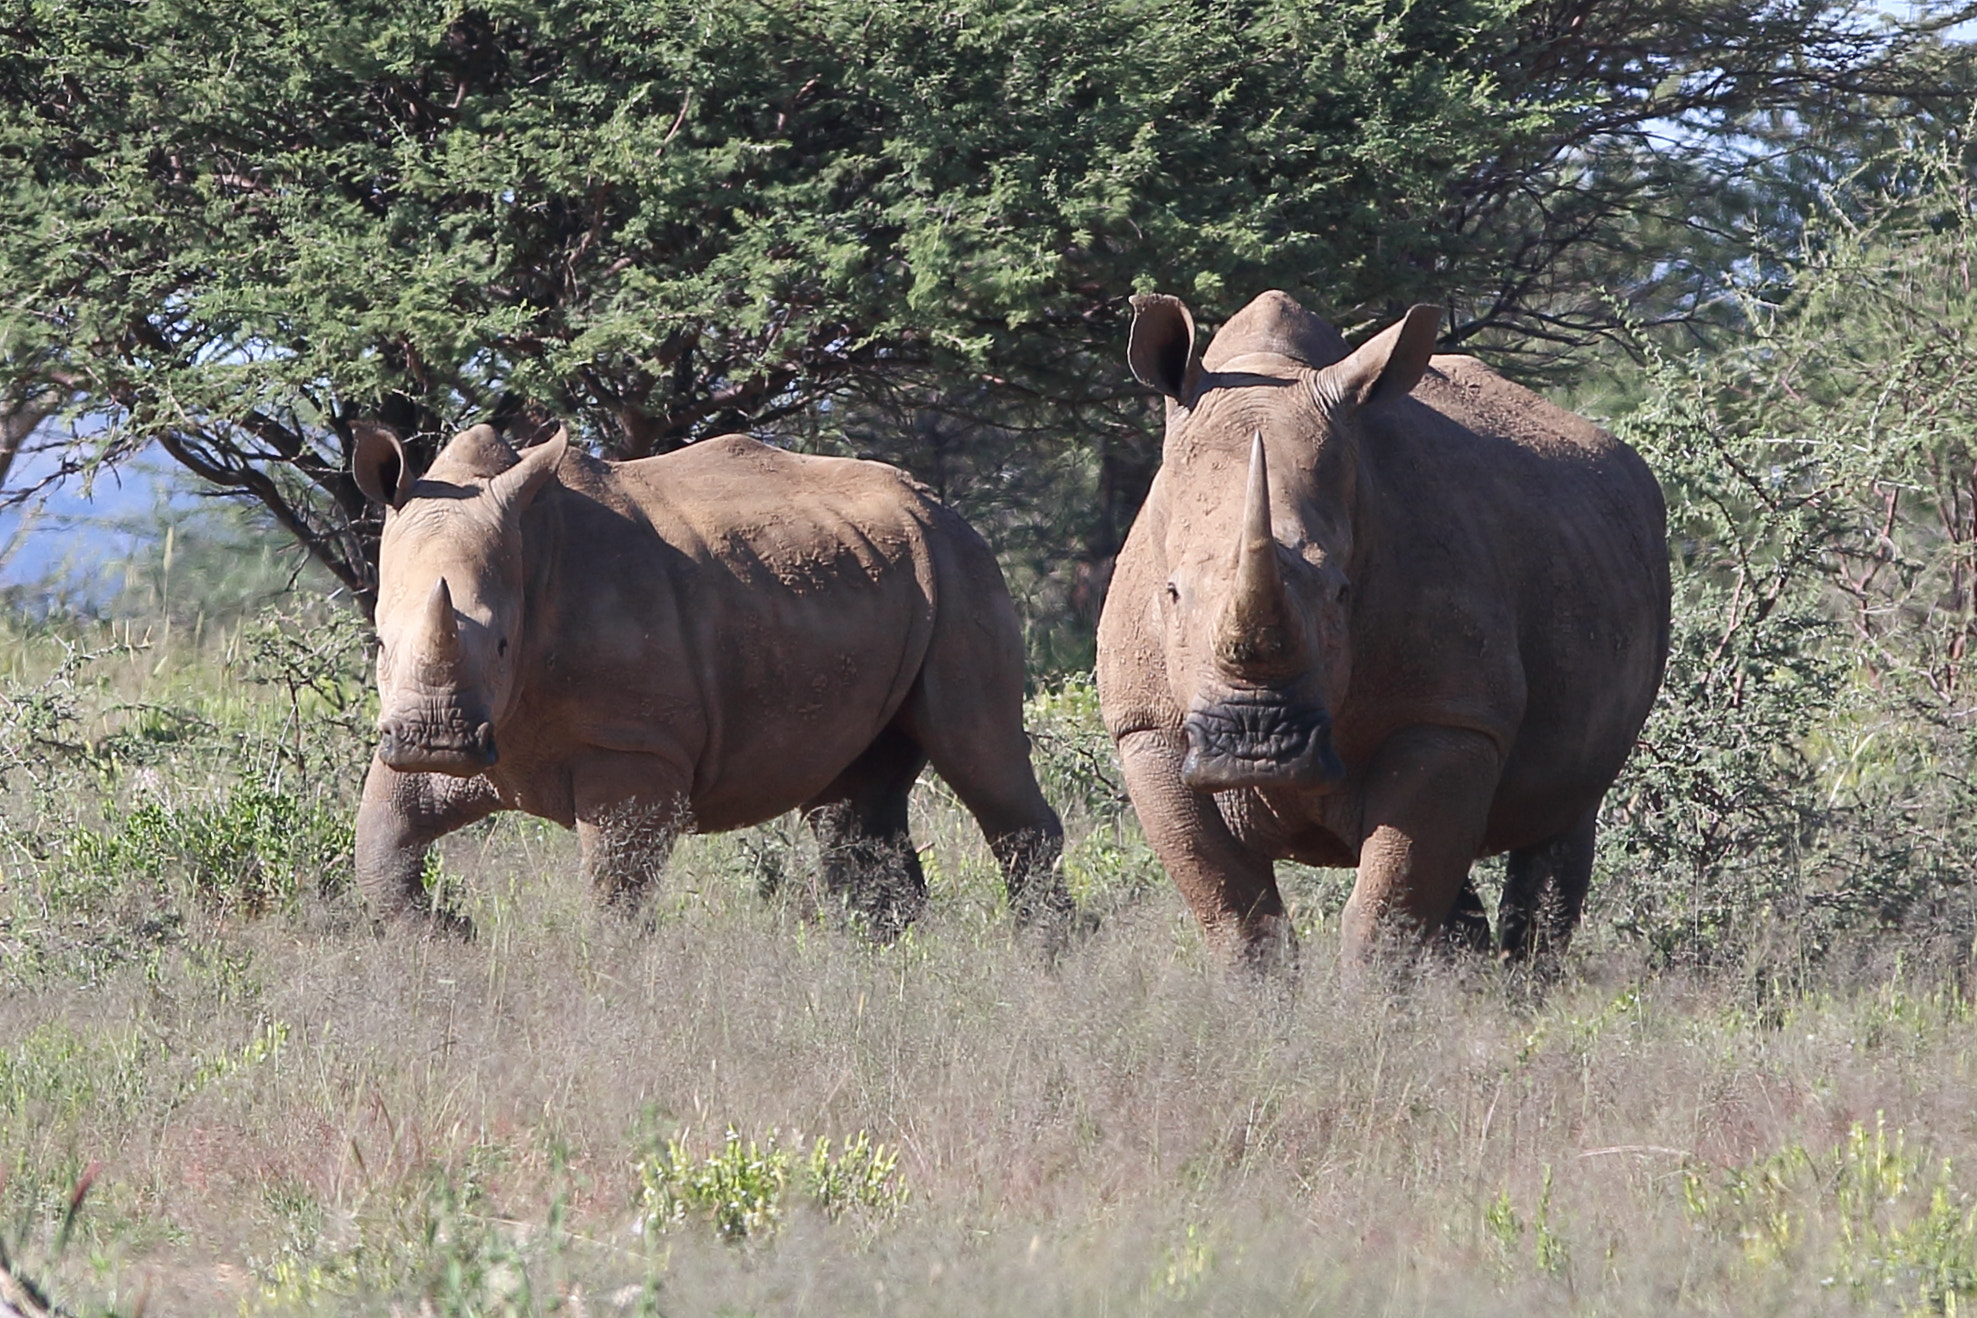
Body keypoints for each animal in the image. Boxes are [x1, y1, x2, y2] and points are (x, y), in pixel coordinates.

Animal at [347, 422, 1075, 936]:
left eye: (503, 644)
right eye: (378, 642)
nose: (435, 741)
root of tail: (941, 506)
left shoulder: (635, 746)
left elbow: (617, 889)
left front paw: (605, 987)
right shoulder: (450, 736)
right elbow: (381, 845)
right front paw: (450, 932)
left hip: (959, 569)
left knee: (981, 759)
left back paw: (1043, 966)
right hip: (870, 578)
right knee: (853, 809)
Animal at [1099, 288, 1668, 968]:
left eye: (1342, 593)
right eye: (1172, 593)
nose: (1256, 748)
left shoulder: (1452, 715)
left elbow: (1385, 914)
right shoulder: (1146, 728)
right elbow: (1238, 918)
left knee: (1562, 819)